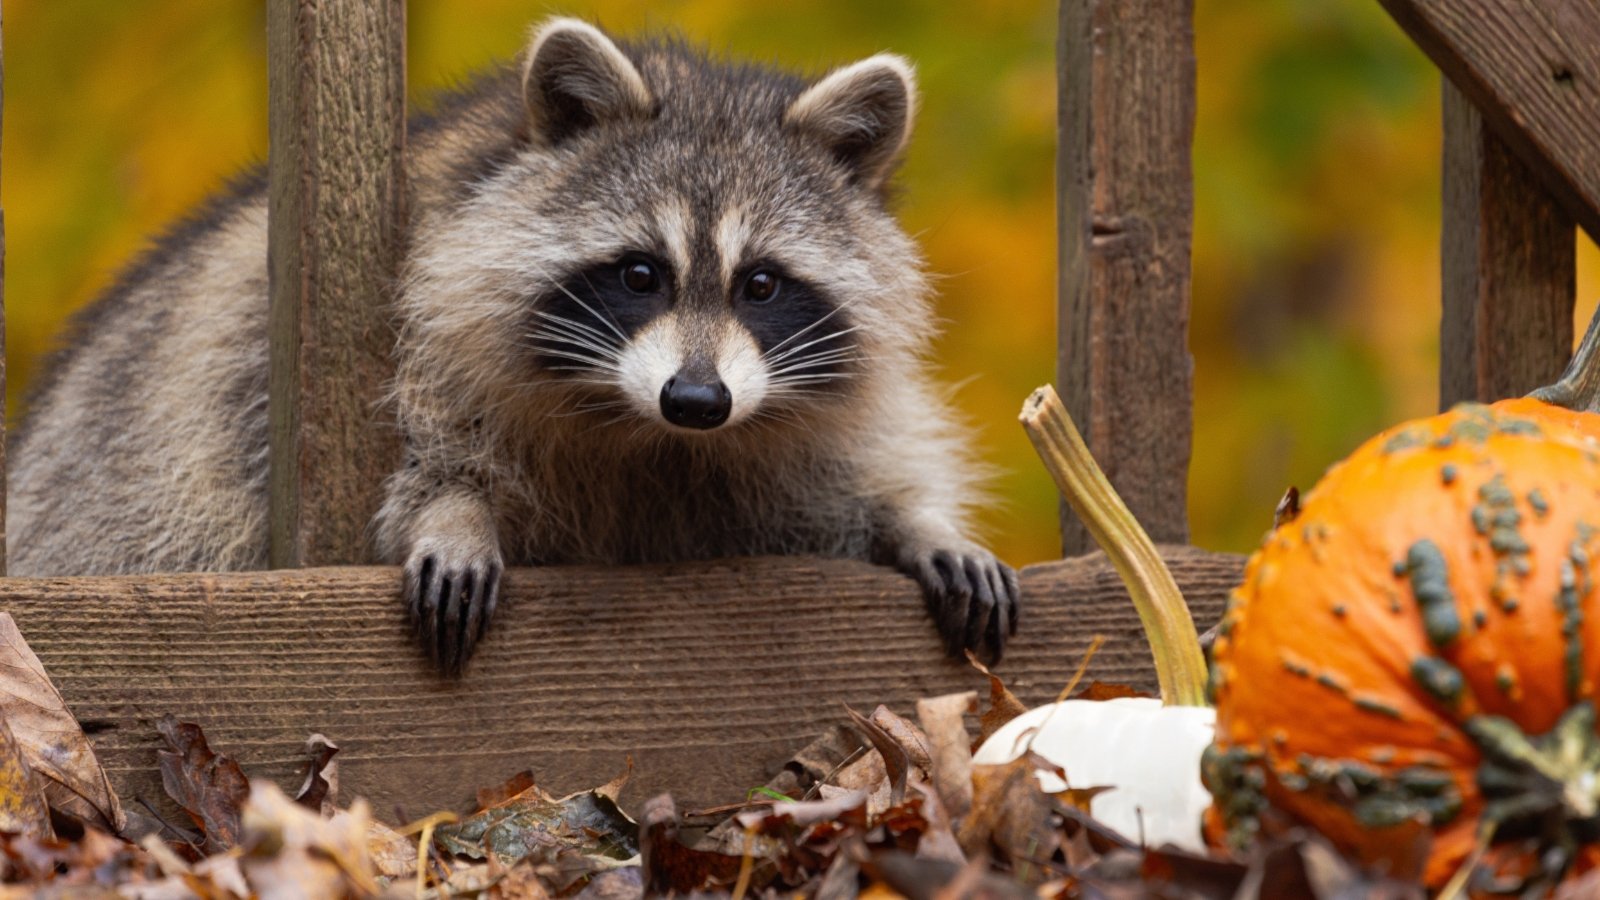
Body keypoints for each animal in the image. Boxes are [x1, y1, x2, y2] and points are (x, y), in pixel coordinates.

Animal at [6, 17, 1017, 669]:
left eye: (760, 285)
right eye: (640, 274)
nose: (697, 400)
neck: (646, 434)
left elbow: (847, 480)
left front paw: (917, 519)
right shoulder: (371, 342)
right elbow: (416, 457)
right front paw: (453, 507)